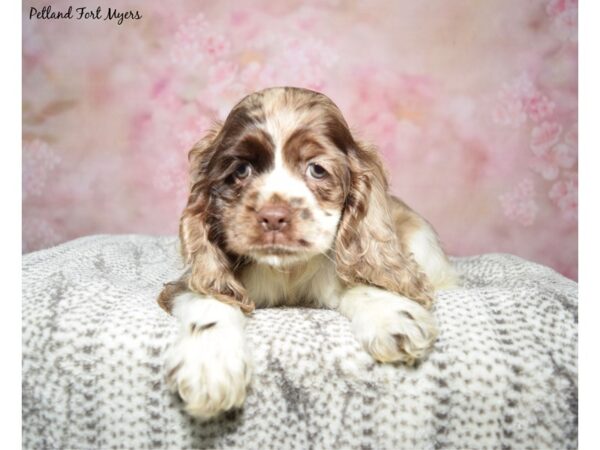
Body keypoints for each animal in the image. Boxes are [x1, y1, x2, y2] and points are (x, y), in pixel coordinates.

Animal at [157, 87, 458, 418]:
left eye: (317, 169)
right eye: (241, 170)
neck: (288, 271)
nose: (273, 216)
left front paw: (394, 317)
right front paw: (209, 366)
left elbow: (363, 281)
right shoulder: (186, 284)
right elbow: (212, 298)